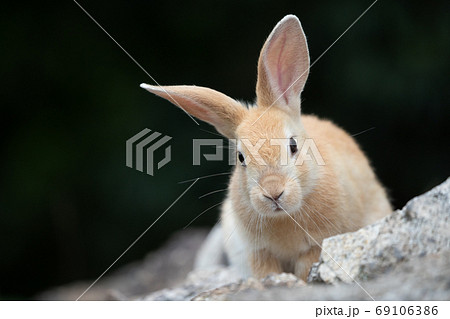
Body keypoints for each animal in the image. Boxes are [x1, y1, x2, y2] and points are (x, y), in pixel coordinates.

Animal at [141, 14, 390, 280]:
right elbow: (265, 271)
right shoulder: (257, 252)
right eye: (241, 157)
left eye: (293, 145)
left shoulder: (317, 244)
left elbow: (306, 266)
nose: (273, 192)